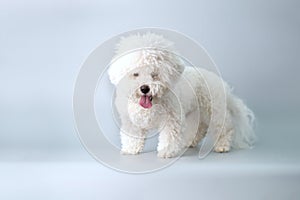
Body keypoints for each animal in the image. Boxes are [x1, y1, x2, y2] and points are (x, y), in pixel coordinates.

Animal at [108, 32, 255, 158]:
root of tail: (221, 83)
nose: (144, 88)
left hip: (214, 110)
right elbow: (132, 136)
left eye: (155, 74)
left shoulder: (171, 119)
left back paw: (223, 145)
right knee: (200, 128)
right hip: (195, 113)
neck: (152, 103)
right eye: (135, 74)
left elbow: (168, 136)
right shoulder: (131, 121)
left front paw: (166, 152)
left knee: (225, 127)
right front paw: (130, 149)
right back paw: (190, 141)